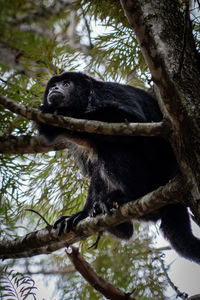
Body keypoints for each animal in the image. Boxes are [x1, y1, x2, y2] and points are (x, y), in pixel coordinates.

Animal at [38, 71, 200, 264]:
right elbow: (93, 169)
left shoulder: (108, 93)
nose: (54, 88)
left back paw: (128, 197)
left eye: (66, 83)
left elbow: (134, 122)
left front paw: (64, 112)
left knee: (111, 149)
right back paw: (106, 218)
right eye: (53, 85)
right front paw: (83, 213)